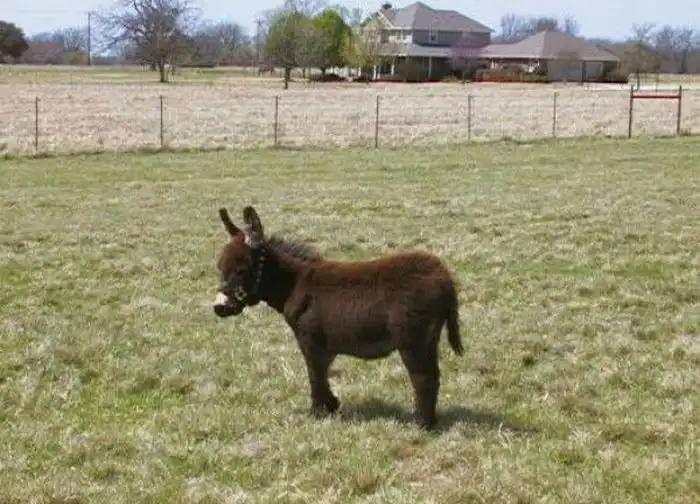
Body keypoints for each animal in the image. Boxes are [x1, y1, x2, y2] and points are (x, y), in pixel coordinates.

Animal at [212, 205, 464, 430]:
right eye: (220, 267)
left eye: (241, 270)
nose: (218, 307)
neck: (294, 284)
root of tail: (443, 275)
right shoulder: (324, 346)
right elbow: (322, 375)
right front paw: (332, 406)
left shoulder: (310, 341)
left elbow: (314, 375)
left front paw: (317, 412)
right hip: (428, 340)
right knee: (433, 376)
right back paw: (429, 421)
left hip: (413, 342)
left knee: (423, 378)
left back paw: (422, 425)